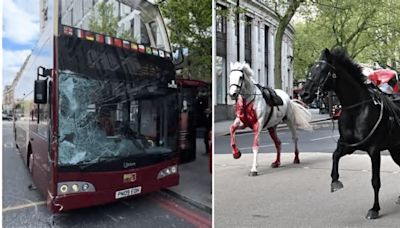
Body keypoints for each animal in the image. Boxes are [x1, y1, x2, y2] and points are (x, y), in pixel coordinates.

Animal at [300, 47, 400, 219]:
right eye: (311, 69)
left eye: (323, 71)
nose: (304, 94)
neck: (357, 110)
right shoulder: (348, 146)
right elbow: (335, 156)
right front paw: (335, 182)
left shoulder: (374, 150)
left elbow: (375, 180)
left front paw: (374, 209)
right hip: (395, 149)